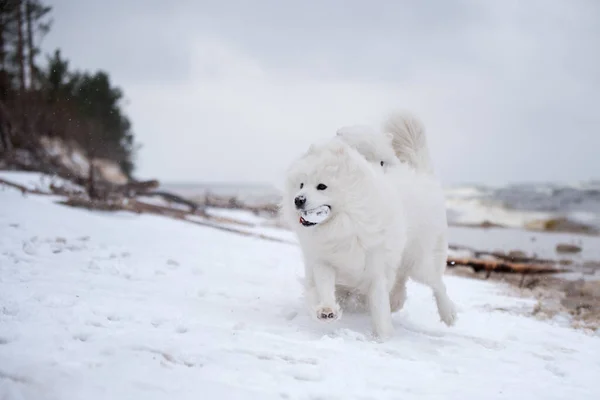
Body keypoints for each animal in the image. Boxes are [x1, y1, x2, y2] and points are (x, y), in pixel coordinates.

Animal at [284, 110, 458, 340]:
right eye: (301, 184)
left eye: (322, 186)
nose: (298, 200)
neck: (345, 224)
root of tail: (420, 173)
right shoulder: (324, 260)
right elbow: (324, 285)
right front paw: (327, 310)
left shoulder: (375, 266)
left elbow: (379, 304)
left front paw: (383, 336)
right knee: (403, 282)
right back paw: (397, 301)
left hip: (419, 262)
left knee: (437, 283)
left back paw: (448, 314)